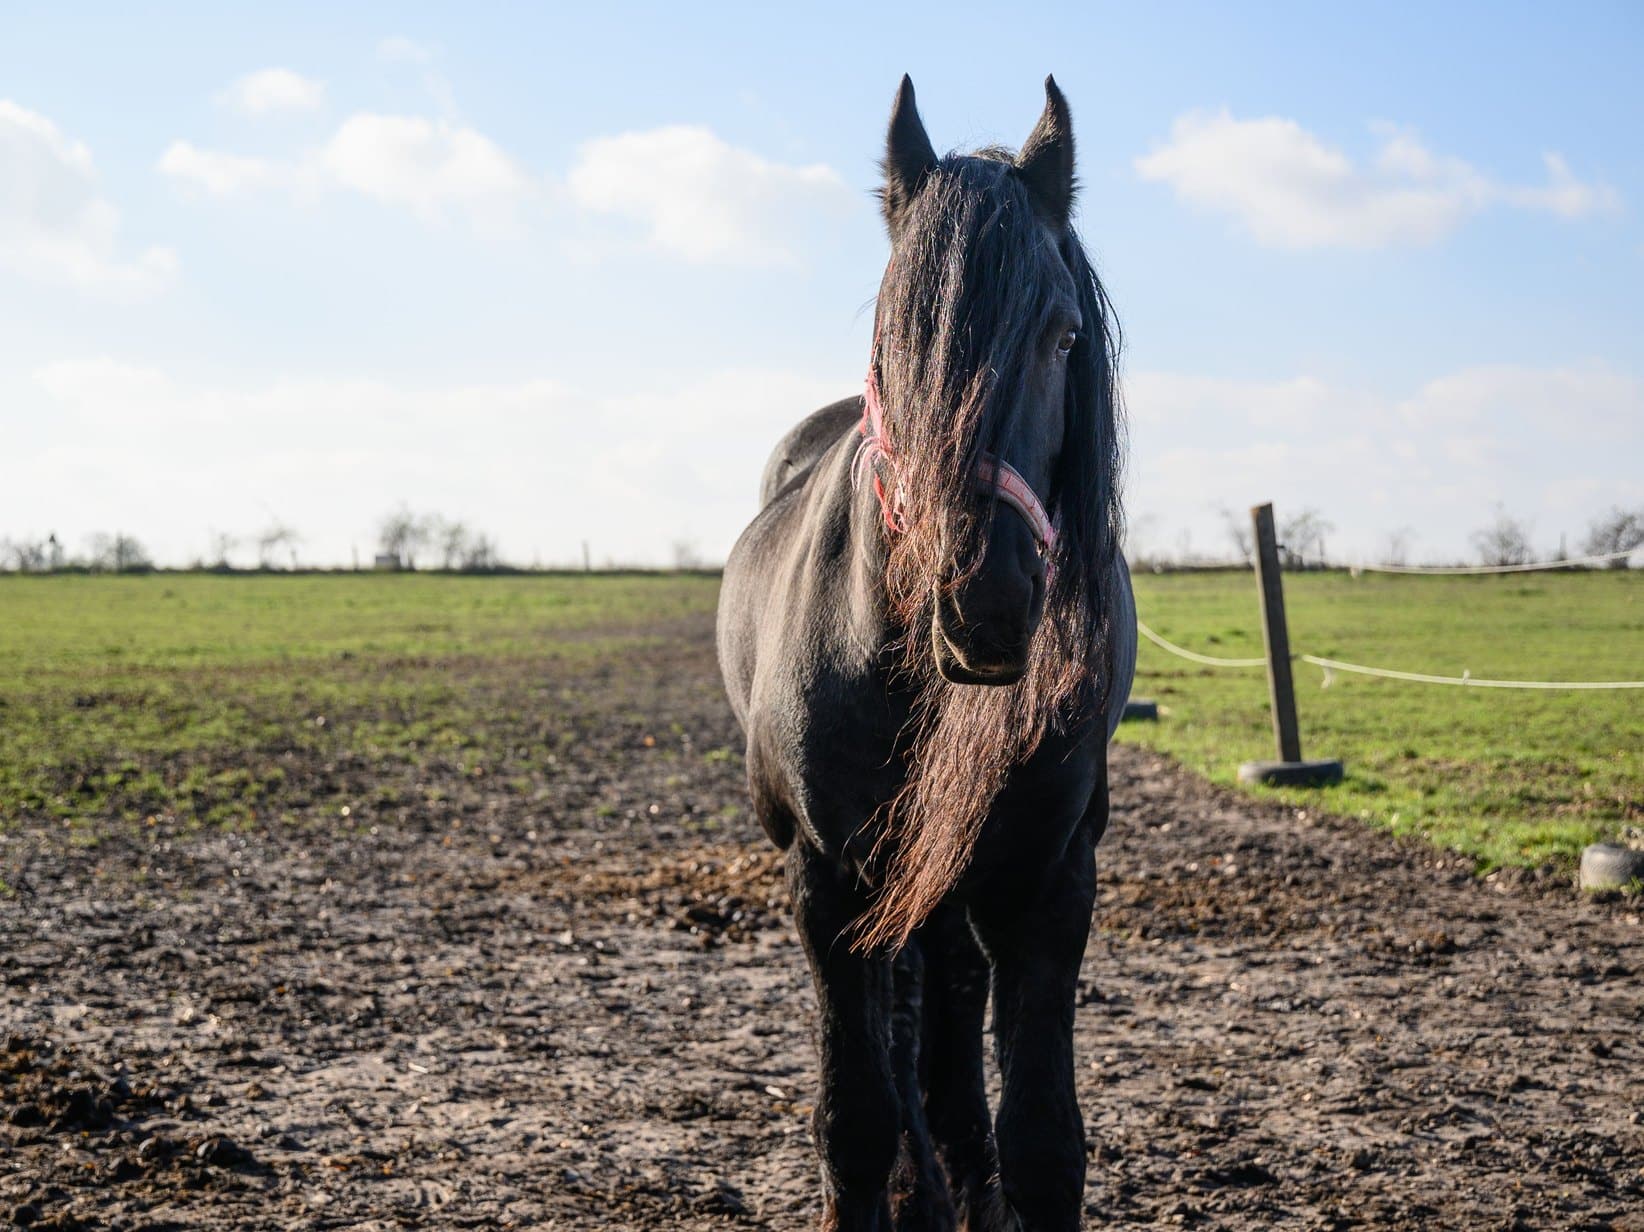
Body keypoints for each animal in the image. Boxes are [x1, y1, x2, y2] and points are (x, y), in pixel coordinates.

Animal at [716, 75, 1136, 1231]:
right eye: (892, 338)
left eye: (1062, 338)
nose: (982, 602)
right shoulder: (829, 883)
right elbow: (856, 1116)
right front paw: (897, 1182)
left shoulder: (1049, 879)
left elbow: (1044, 1139)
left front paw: (989, 1175)